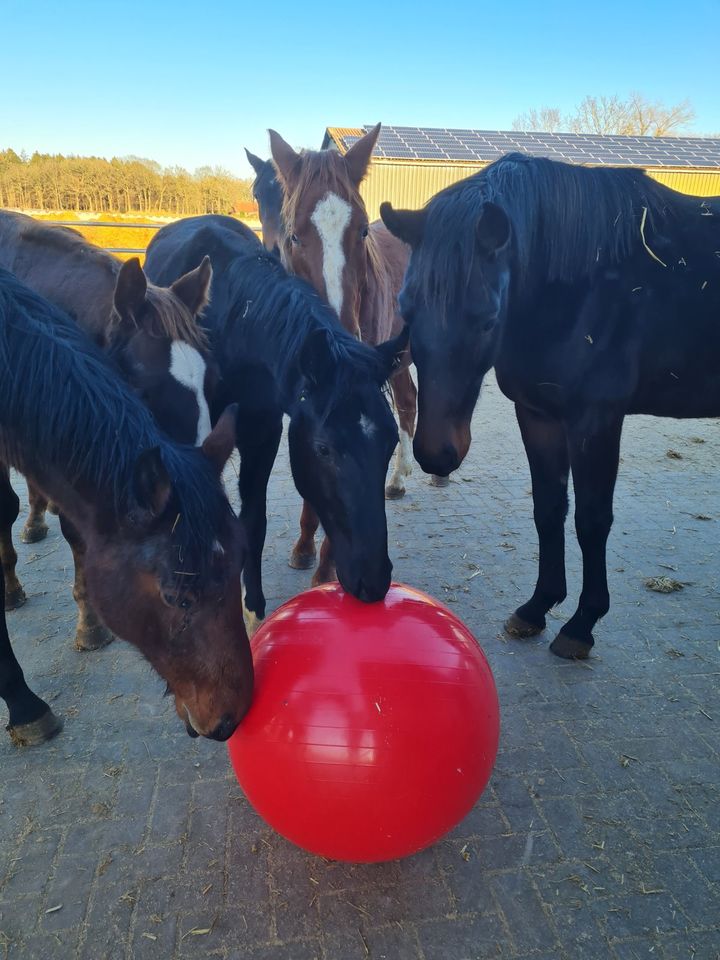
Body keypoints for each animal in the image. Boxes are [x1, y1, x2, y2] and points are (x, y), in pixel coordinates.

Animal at [143, 218, 408, 636]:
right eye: (323, 449)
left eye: (390, 441)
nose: (374, 580)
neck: (233, 322)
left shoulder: (262, 437)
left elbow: (253, 523)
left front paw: (252, 610)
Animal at [268, 125, 434, 576]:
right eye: (294, 235)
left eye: (361, 230)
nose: (339, 338)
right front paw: (304, 544)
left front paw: (326, 571)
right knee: (408, 400)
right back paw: (397, 480)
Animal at [382, 154, 720, 660]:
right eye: (407, 309)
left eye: (487, 319)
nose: (436, 455)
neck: (580, 289)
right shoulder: (538, 415)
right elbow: (549, 508)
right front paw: (538, 606)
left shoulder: (596, 421)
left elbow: (591, 519)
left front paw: (582, 623)